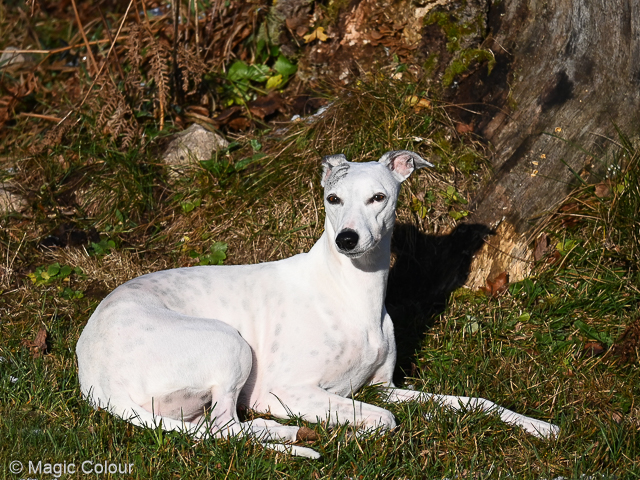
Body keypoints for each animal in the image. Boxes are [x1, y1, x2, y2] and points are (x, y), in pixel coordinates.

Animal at [75, 150, 556, 458]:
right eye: (333, 199)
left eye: (379, 197)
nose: (347, 239)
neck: (351, 293)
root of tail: (99, 383)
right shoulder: (291, 389)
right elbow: (384, 419)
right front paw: (347, 437)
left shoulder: (386, 387)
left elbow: (476, 402)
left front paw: (540, 426)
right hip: (230, 346)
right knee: (226, 427)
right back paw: (292, 434)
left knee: (218, 427)